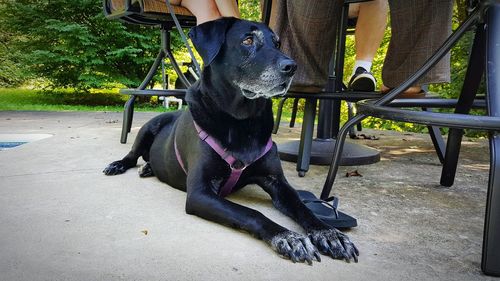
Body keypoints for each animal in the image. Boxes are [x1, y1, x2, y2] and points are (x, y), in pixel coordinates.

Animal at [103, 17, 358, 262]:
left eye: (277, 43)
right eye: (248, 40)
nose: (292, 67)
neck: (241, 121)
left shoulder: (277, 182)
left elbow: (303, 208)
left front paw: (329, 233)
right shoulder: (200, 193)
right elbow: (251, 212)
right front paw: (288, 237)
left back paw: (148, 168)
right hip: (147, 128)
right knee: (132, 154)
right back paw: (119, 165)